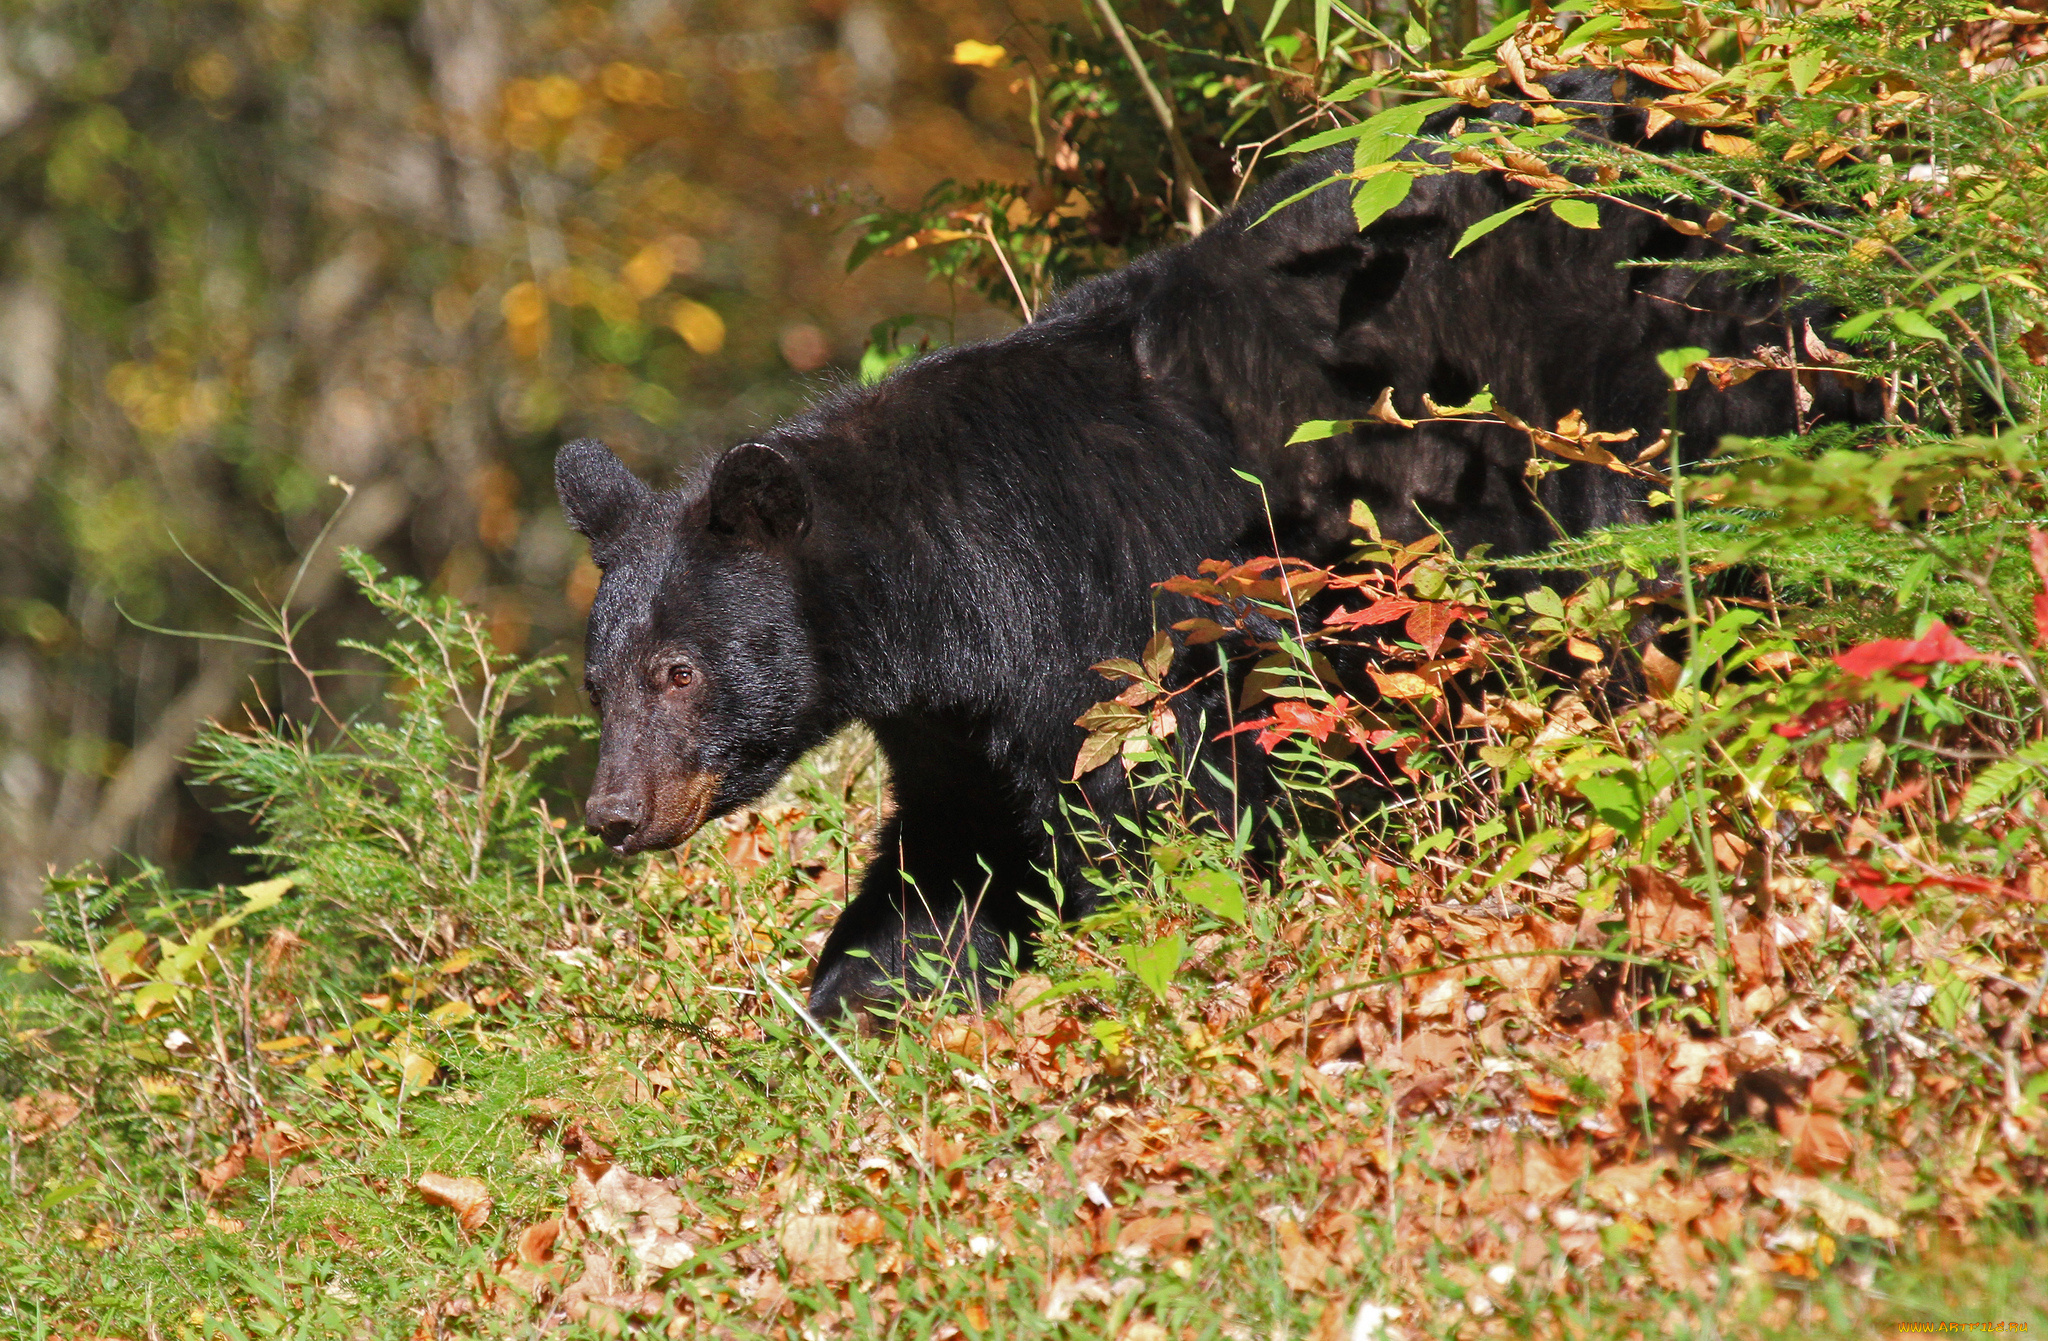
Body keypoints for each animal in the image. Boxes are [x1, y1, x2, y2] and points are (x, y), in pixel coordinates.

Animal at [552, 76, 1875, 1019]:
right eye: (599, 683)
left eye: (680, 670)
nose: (612, 813)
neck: (950, 590)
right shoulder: (951, 723)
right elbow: (945, 864)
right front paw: (850, 1006)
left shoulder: (1113, 629)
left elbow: (1160, 810)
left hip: (1642, 384)